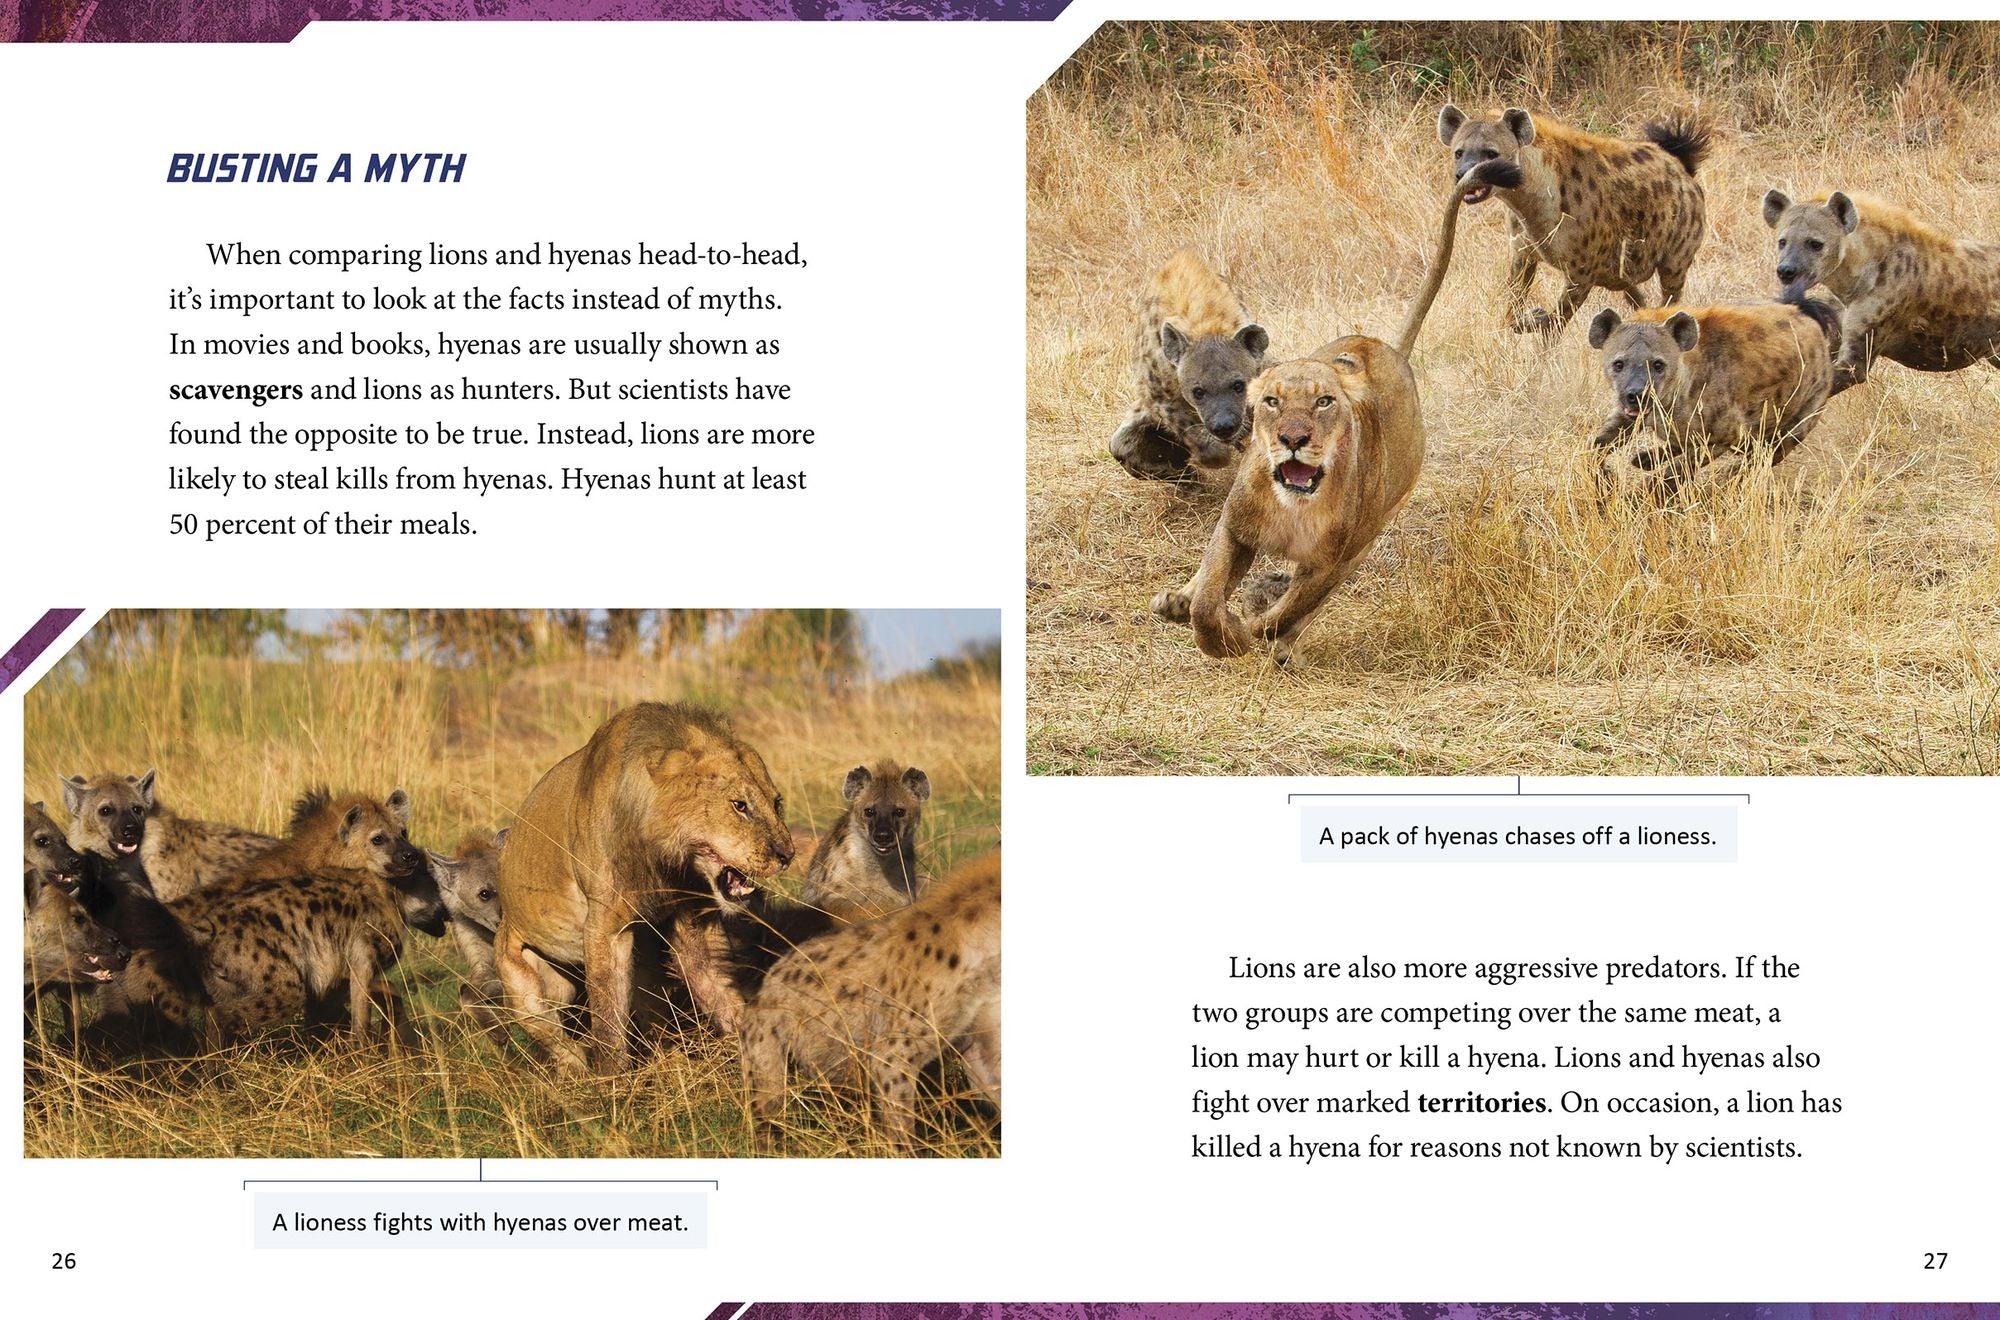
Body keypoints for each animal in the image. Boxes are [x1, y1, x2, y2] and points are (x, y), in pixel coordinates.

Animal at [493, 702, 796, 1077]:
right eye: (739, 805)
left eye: (777, 803)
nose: (787, 855)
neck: (668, 861)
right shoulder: (606, 928)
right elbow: (608, 1017)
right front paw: (611, 1081)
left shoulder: (692, 919)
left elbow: (720, 992)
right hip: (524, 985)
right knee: (551, 1033)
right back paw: (576, 1066)